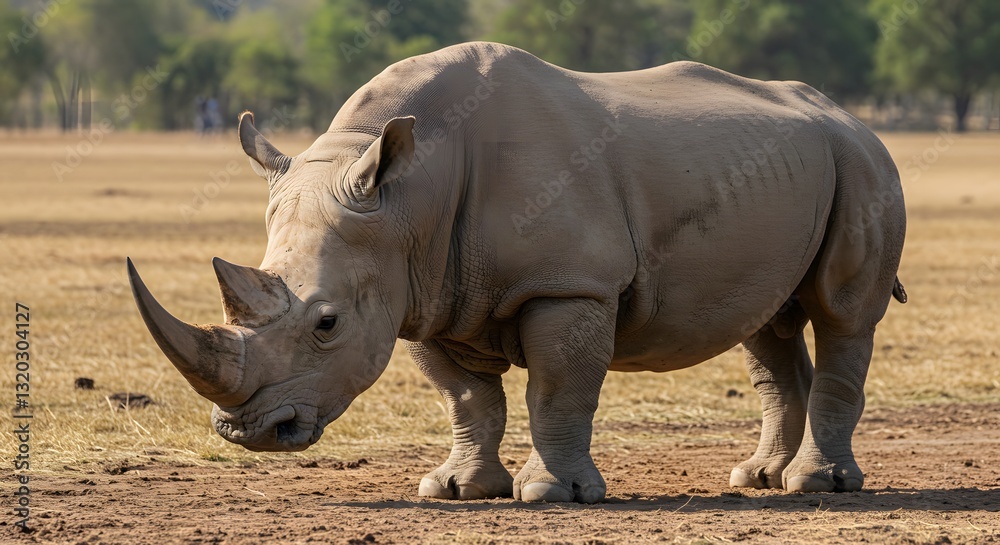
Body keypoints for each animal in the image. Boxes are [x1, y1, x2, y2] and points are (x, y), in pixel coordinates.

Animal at [128, 42, 906, 503]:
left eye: (327, 324)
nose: (248, 431)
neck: (410, 196)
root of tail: (844, 113)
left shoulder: (568, 285)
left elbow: (557, 390)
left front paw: (550, 494)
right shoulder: (424, 290)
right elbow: (468, 399)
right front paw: (456, 489)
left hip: (863, 161)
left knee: (842, 313)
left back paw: (819, 485)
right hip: (795, 168)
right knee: (767, 324)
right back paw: (762, 478)